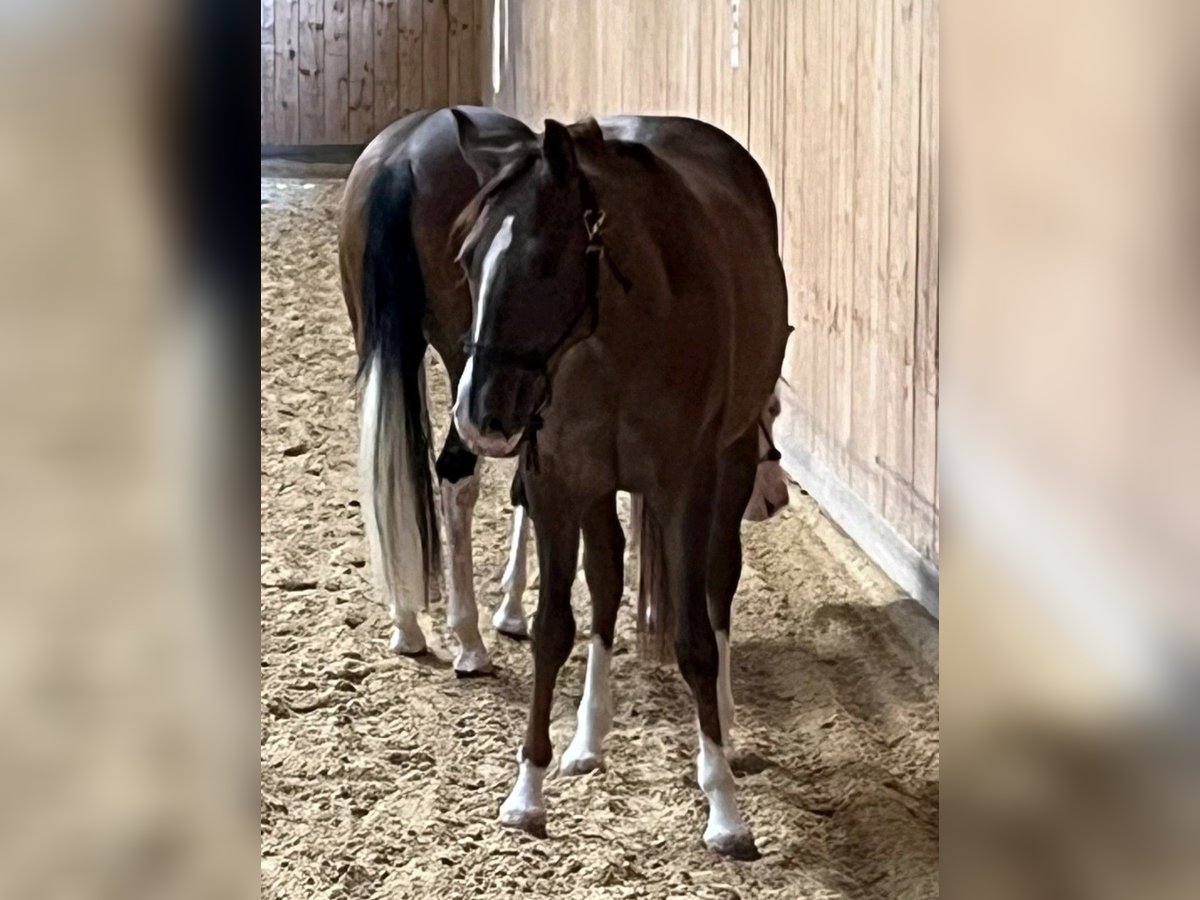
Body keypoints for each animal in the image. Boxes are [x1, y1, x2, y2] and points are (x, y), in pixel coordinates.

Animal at [448, 111, 787, 859]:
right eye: (466, 259)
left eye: (544, 263)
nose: (481, 416)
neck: (614, 344)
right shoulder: (557, 483)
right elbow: (554, 628)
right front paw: (527, 793)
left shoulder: (686, 487)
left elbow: (695, 638)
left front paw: (725, 810)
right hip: (600, 490)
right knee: (604, 587)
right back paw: (588, 737)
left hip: (730, 469)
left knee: (717, 586)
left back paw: (722, 725)